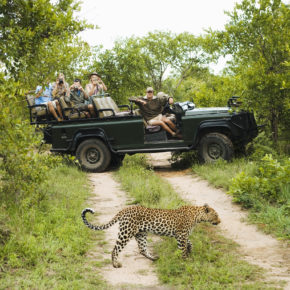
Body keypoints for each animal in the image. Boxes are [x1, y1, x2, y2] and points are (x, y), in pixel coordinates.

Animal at [81, 204, 220, 268]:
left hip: (141, 234)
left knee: (142, 249)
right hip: (126, 232)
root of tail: (124, 210)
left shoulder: (181, 235)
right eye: (216, 215)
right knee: (115, 249)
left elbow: (190, 243)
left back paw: (154, 258)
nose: (219, 221)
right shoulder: (181, 235)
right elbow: (183, 248)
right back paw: (115, 264)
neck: (197, 216)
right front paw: (185, 260)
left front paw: (190, 250)